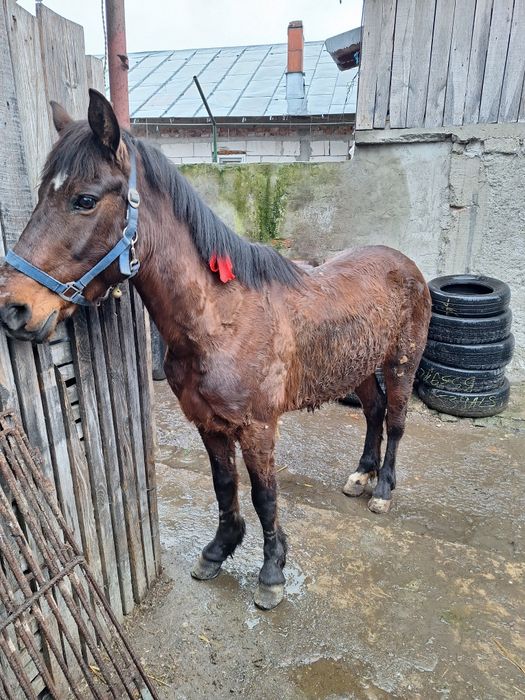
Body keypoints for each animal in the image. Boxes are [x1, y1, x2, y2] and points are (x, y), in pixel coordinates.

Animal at [0, 90, 431, 610]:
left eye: (84, 200)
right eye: (42, 194)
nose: (13, 308)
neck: (220, 318)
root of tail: (404, 263)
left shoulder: (259, 427)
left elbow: (265, 495)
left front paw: (272, 572)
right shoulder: (208, 422)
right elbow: (224, 485)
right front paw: (219, 550)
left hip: (402, 364)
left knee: (397, 421)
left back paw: (382, 489)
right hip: (360, 368)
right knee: (373, 413)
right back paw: (361, 475)